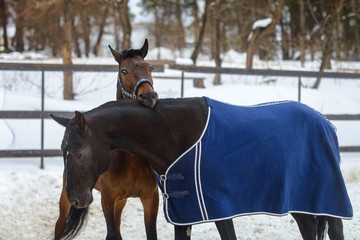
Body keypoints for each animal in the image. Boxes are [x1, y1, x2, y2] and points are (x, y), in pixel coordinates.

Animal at [50, 96, 352, 239]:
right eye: (62, 151)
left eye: (78, 152)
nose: (76, 198)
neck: (177, 136)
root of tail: (327, 123)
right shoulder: (184, 213)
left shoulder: (219, 209)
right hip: (301, 200)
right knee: (310, 229)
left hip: (329, 197)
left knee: (335, 230)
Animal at [53, 39, 159, 240]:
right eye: (124, 71)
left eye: (150, 67)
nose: (149, 96)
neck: (130, 157)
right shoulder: (107, 199)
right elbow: (112, 233)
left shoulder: (150, 198)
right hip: (67, 195)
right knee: (59, 225)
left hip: (121, 202)